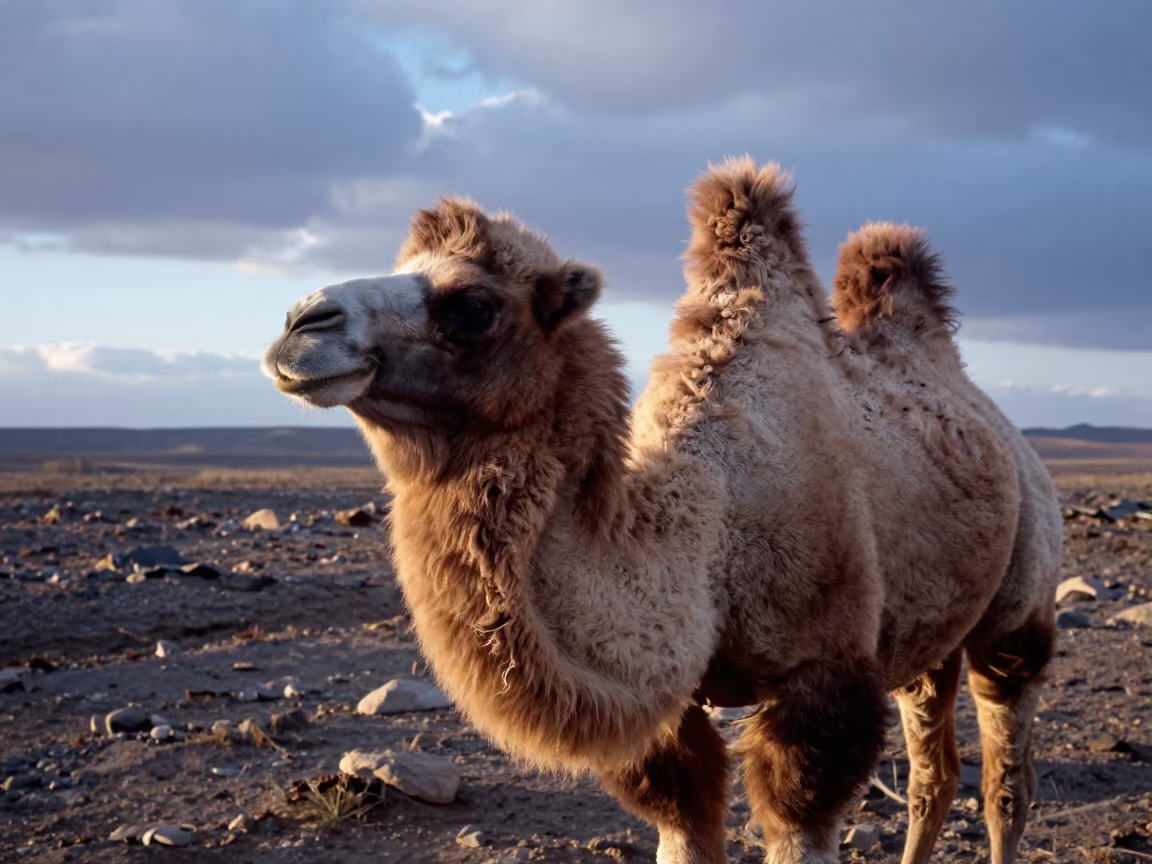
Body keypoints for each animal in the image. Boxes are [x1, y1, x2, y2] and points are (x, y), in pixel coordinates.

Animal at [262, 157, 1061, 864]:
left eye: (474, 305)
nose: (300, 322)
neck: (708, 544)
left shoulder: (821, 676)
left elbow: (802, 819)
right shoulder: (672, 719)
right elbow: (682, 823)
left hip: (1021, 600)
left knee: (1005, 776)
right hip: (925, 634)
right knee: (934, 773)